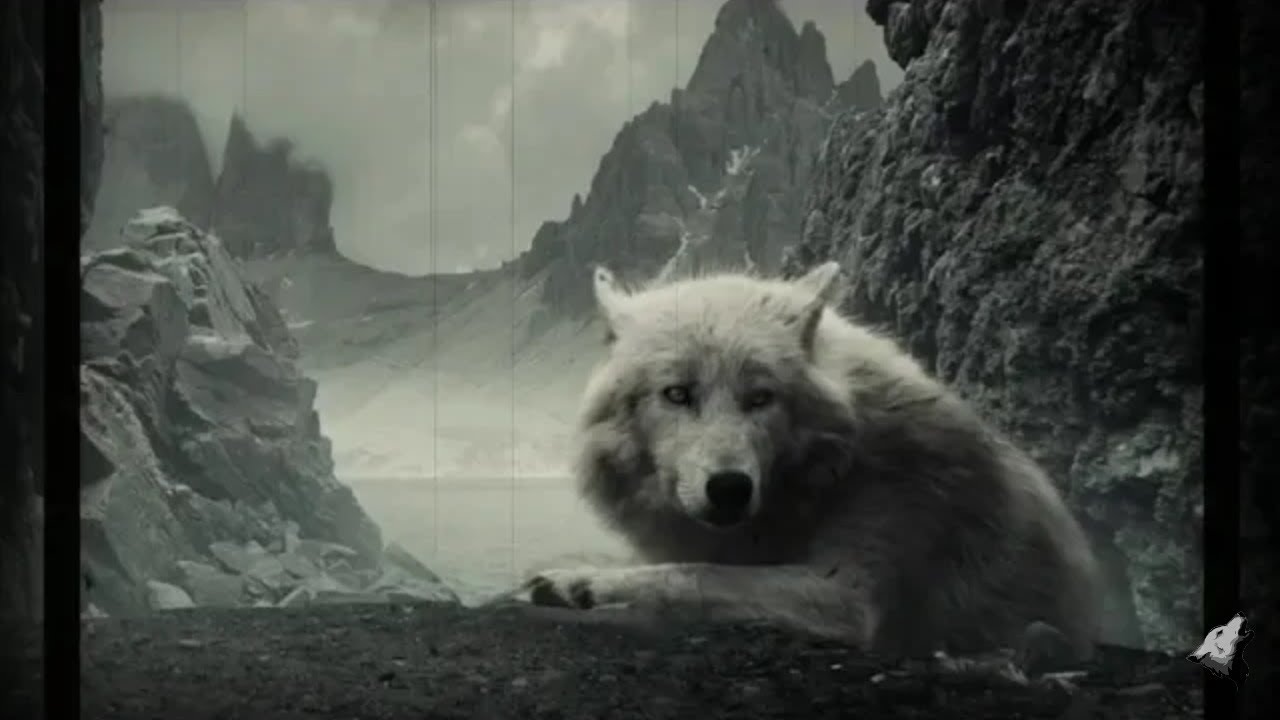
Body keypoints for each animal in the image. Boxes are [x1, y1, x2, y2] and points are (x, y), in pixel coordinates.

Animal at [523, 261, 1103, 659]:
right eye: (677, 394)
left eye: (761, 398)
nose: (730, 488)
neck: (828, 476)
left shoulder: (849, 592)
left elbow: (695, 574)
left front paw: (584, 583)